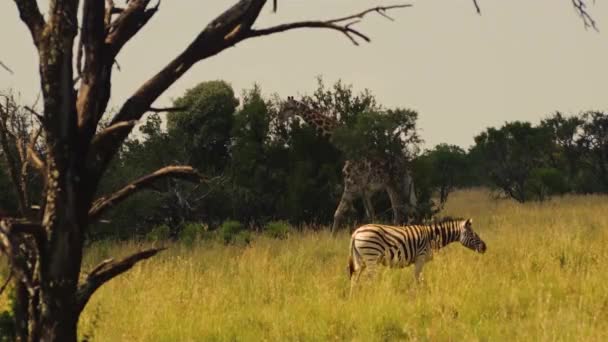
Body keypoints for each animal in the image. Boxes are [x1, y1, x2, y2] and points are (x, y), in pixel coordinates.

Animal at [278, 96, 416, 232]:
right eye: (282, 106)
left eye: (289, 107)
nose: (279, 117)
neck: (346, 148)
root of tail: (407, 170)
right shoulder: (363, 189)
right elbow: (363, 214)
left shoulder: (352, 185)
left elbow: (343, 213)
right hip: (393, 186)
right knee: (402, 213)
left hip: (398, 185)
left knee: (404, 212)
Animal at [350, 219, 486, 292]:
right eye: (473, 234)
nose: (485, 247)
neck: (432, 237)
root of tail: (356, 232)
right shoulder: (420, 257)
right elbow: (418, 278)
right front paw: (418, 294)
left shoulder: (419, 260)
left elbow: (419, 278)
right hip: (371, 256)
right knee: (369, 279)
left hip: (362, 260)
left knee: (355, 279)